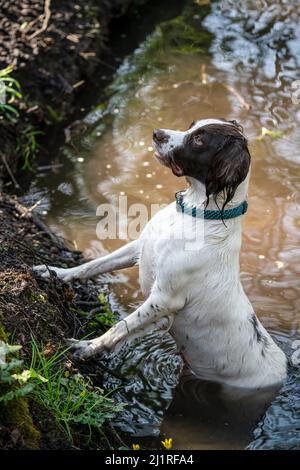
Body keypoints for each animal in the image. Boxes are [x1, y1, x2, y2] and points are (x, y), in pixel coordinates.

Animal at [34, 118, 288, 390]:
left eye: (199, 139)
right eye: (192, 125)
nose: (157, 133)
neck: (193, 215)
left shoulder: (165, 299)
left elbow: (121, 327)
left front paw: (86, 346)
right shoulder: (139, 248)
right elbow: (92, 266)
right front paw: (54, 273)